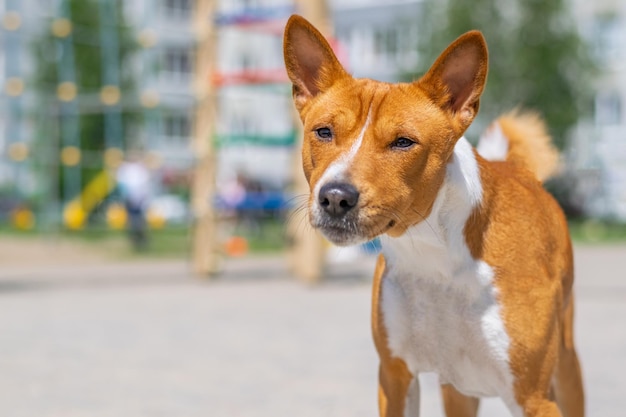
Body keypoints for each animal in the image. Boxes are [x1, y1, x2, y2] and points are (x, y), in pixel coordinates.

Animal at [282, 14, 584, 416]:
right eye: (324, 132)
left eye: (403, 142)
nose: (335, 197)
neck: (434, 258)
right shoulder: (395, 378)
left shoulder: (533, 398)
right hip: (457, 385)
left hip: (564, 368)